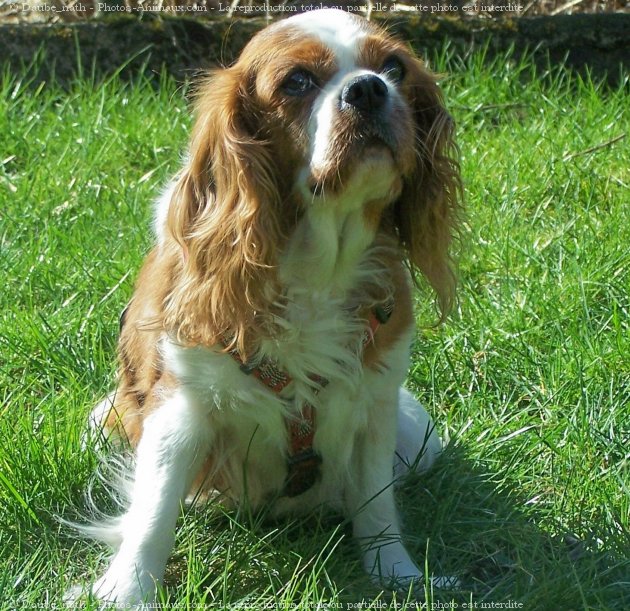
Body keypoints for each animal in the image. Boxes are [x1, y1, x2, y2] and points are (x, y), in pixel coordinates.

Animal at [70, 7, 464, 604]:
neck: (317, 269)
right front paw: (125, 591)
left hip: (418, 430)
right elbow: (153, 513)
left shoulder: (375, 403)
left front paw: (395, 575)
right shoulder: (179, 408)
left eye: (394, 67)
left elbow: (376, 505)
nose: (368, 89)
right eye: (296, 82)